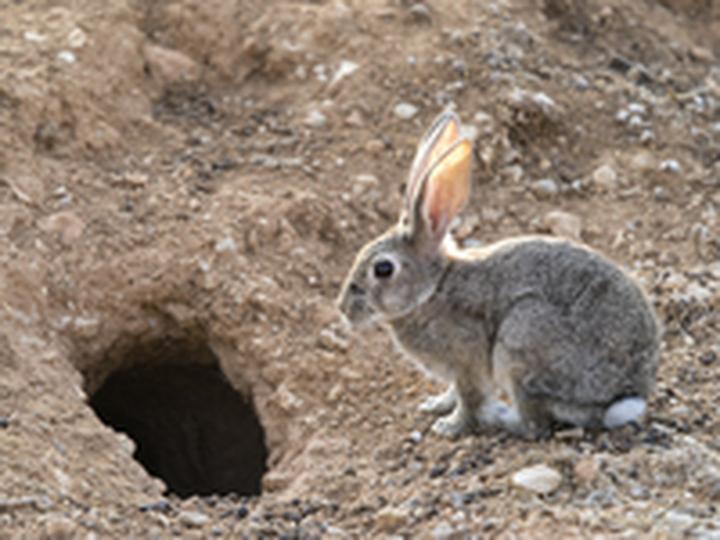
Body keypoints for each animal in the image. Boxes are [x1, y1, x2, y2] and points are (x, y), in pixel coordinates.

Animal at [336, 110, 661, 439]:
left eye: (383, 269)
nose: (343, 309)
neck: (433, 290)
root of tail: (622, 396)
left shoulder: (467, 362)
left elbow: (469, 398)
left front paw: (449, 426)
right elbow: (453, 392)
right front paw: (435, 405)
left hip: (521, 340)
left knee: (535, 424)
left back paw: (499, 418)